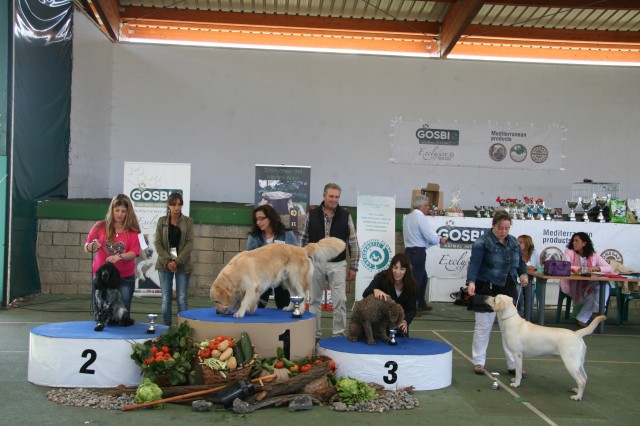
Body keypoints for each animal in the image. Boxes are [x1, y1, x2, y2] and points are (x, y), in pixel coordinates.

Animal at [210, 237, 346, 318]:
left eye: (216, 301)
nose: (217, 311)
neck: (235, 272)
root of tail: (302, 249)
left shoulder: (252, 287)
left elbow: (244, 301)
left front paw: (239, 313)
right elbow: (235, 300)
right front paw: (231, 309)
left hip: (297, 280)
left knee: (303, 295)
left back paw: (301, 310)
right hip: (288, 281)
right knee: (294, 295)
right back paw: (290, 308)